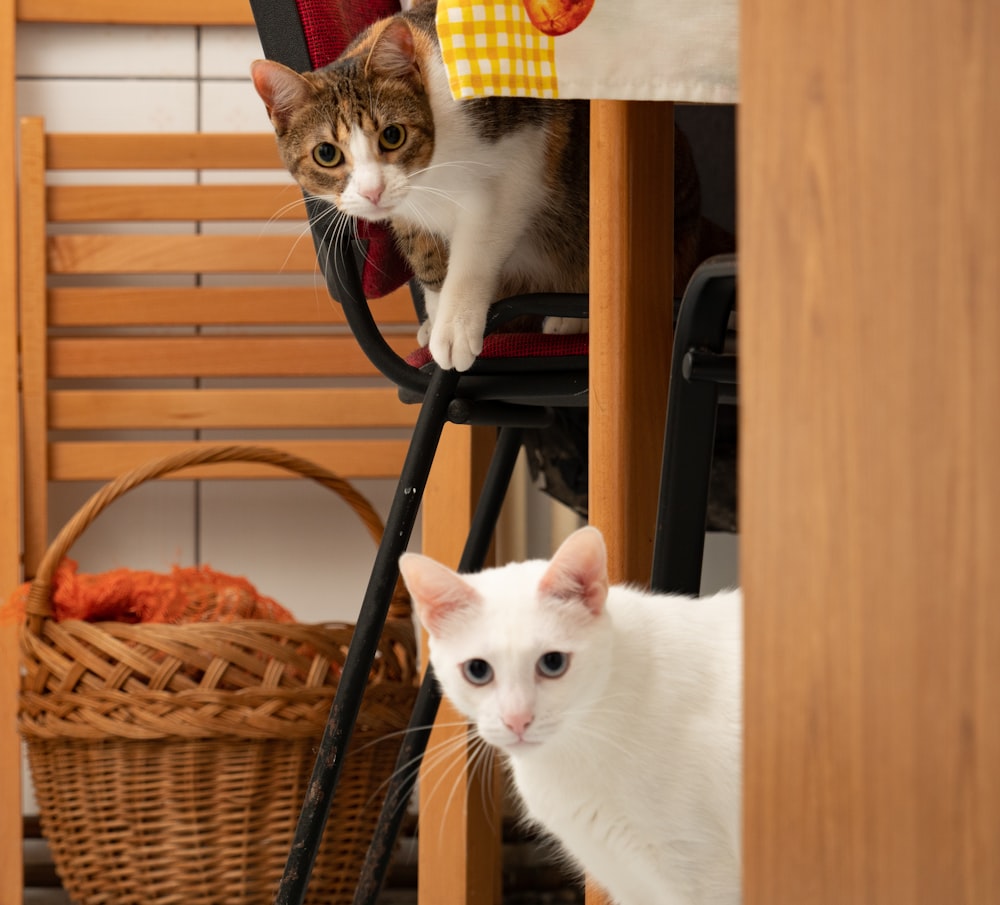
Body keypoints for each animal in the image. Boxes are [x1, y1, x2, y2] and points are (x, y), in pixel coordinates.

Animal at [249, 0, 704, 370]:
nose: (372, 191)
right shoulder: (409, 211)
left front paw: (454, 325)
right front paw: (435, 316)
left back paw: (570, 316)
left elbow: (477, 247)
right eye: (326, 154)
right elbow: (427, 257)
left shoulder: (523, 159)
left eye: (392, 135)